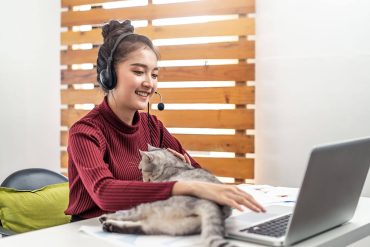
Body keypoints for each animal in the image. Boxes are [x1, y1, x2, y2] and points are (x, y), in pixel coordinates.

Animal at [99, 145, 237, 247]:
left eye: (141, 169)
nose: (142, 178)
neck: (172, 165)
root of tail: (210, 203)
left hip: (152, 206)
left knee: (131, 215)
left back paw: (105, 219)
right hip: (171, 225)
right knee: (141, 227)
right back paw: (110, 226)